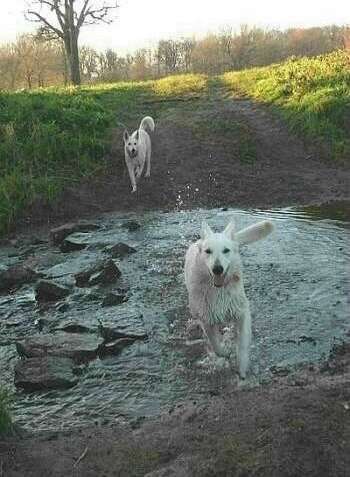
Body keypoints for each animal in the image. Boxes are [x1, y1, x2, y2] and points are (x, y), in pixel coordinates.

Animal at [185, 218, 274, 378]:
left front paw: (242, 369)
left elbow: (243, 343)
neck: (219, 291)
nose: (217, 269)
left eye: (226, 250)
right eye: (208, 251)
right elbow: (215, 345)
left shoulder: (242, 312)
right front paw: (225, 353)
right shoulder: (206, 319)